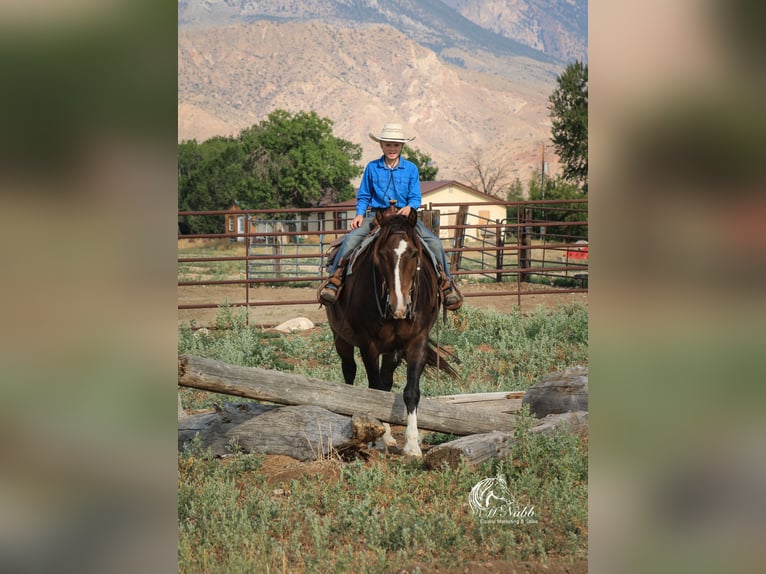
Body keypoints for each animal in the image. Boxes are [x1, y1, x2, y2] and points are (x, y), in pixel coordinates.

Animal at [324, 209, 456, 456]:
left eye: (414, 253)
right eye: (382, 254)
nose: (399, 306)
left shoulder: (416, 342)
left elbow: (409, 391)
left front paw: (411, 445)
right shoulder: (368, 345)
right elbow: (374, 389)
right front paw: (377, 440)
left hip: (391, 350)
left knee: (385, 381)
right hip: (341, 339)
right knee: (349, 373)